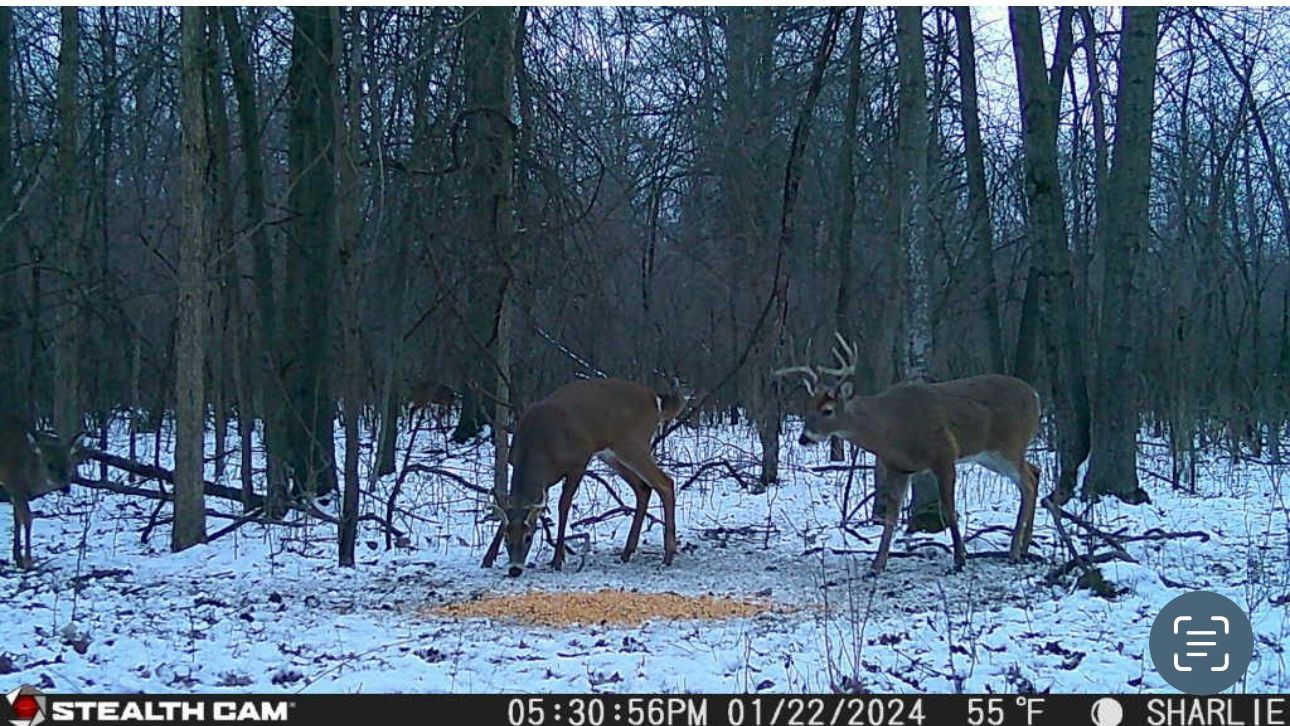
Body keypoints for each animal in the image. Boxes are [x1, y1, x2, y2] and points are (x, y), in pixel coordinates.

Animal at [0, 414, 84, 569]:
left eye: (69, 463)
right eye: (50, 465)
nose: (66, 488)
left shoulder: (16, 492)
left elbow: (17, 520)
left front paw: (18, 558)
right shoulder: (14, 486)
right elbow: (27, 519)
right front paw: (28, 561)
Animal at [482, 378, 686, 577]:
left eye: (528, 537)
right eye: (507, 537)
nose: (514, 569)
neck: (540, 448)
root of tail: (656, 399)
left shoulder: (579, 461)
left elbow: (563, 505)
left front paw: (558, 559)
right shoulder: (531, 473)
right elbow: (509, 507)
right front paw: (488, 558)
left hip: (633, 443)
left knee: (665, 483)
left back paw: (668, 555)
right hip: (611, 454)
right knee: (643, 488)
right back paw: (627, 552)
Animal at [776, 335, 1041, 574]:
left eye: (828, 410)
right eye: (807, 407)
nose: (804, 438)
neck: (890, 428)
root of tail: (1035, 394)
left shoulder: (945, 454)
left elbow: (949, 507)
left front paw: (959, 559)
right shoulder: (899, 467)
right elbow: (891, 516)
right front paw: (877, 565)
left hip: (1009, 446)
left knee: (1027, 482)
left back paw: (1014, 552)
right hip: (989, 456)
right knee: (1035, 472)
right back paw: (1025, 546)